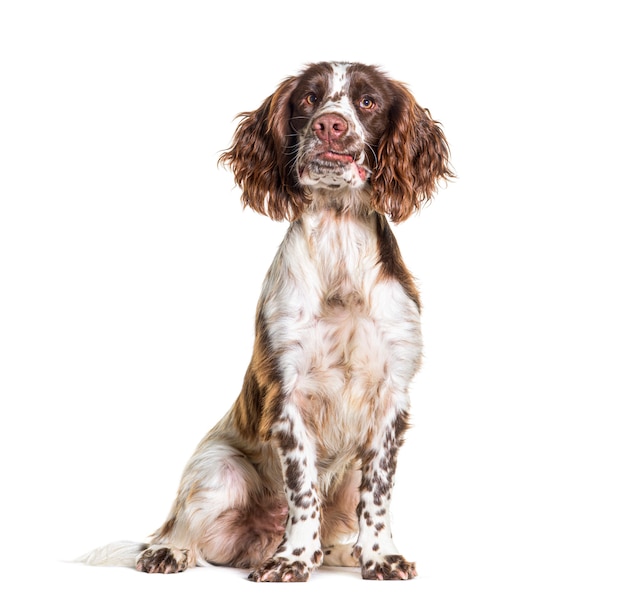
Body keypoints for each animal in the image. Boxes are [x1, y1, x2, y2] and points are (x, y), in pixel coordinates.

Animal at [80, 61, 450, 584]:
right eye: (309, 98)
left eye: (367, 102)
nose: (330, 125)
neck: (339, 238)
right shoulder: (286, 390)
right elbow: (301, 488)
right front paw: (292, 558)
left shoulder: (392, 396)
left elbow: (376, 497)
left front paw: (380, 557)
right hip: (218, 469)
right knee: (178, 528)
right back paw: (171, 552)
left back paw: (342, 553)